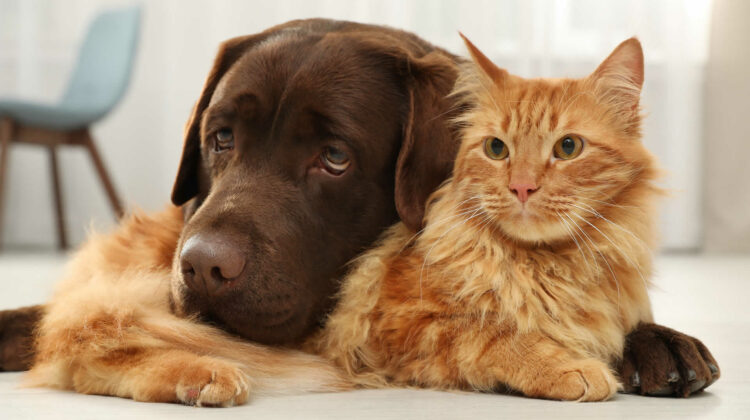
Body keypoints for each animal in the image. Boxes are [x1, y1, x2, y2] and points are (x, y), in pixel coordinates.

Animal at [308, 37, 660, 402]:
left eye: (568, 147)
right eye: (496, 148)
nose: (522, 187)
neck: (544, 265)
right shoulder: (403, 324)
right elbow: (497, 334)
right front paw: (571, 368)